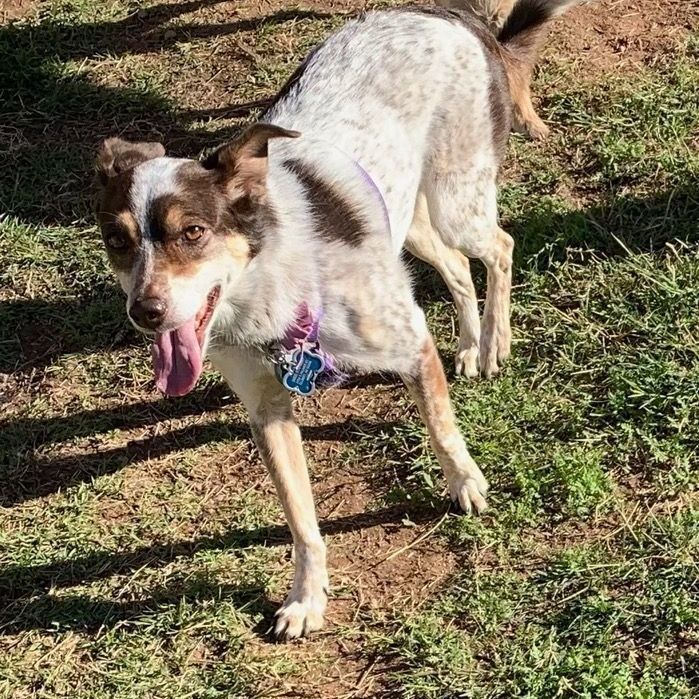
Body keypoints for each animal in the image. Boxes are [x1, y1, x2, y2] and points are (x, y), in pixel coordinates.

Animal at [95, 0, 580, 640]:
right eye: (117, 241)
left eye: (193, 232)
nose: (145, 313)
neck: (269, 284)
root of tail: (450, 13)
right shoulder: (268, 410)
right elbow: (301, 521)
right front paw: (306, 598)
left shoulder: (410, 344)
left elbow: (443, 428)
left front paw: (466, 484)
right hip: (408, 222)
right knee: (456, 266)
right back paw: (470, 344)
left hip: (458, 202)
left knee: (498, 247)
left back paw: (495, 341)